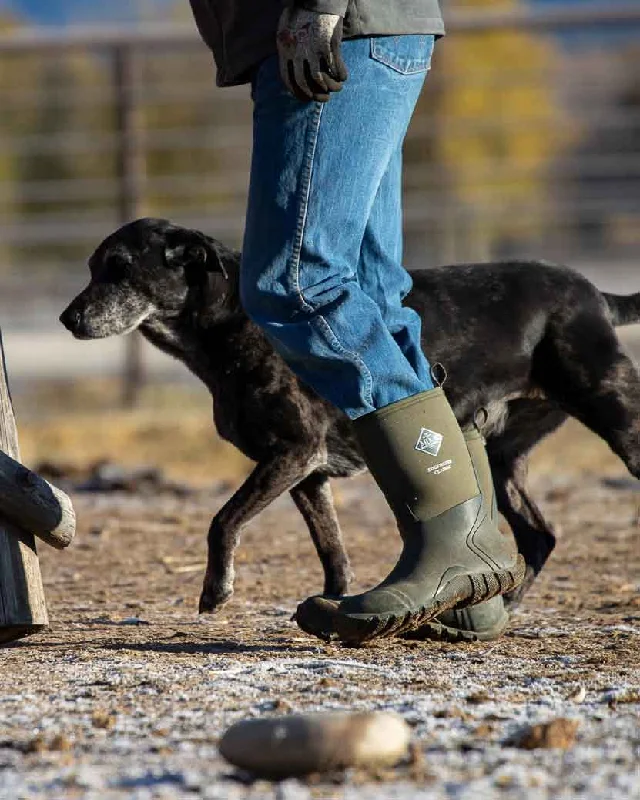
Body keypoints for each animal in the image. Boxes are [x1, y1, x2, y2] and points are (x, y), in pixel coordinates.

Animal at [60, 217, 640, 612]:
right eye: (91, 268)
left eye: (120, 268)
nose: (67, 318)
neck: (233, 324)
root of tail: (595, 294)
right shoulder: (307, 475)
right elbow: (331, 548)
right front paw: (333, 603)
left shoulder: (291, 452)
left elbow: (223, 519)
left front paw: (216, 589)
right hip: (500, 454)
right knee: (540, 536)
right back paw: (507, 602)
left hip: (614, 410)